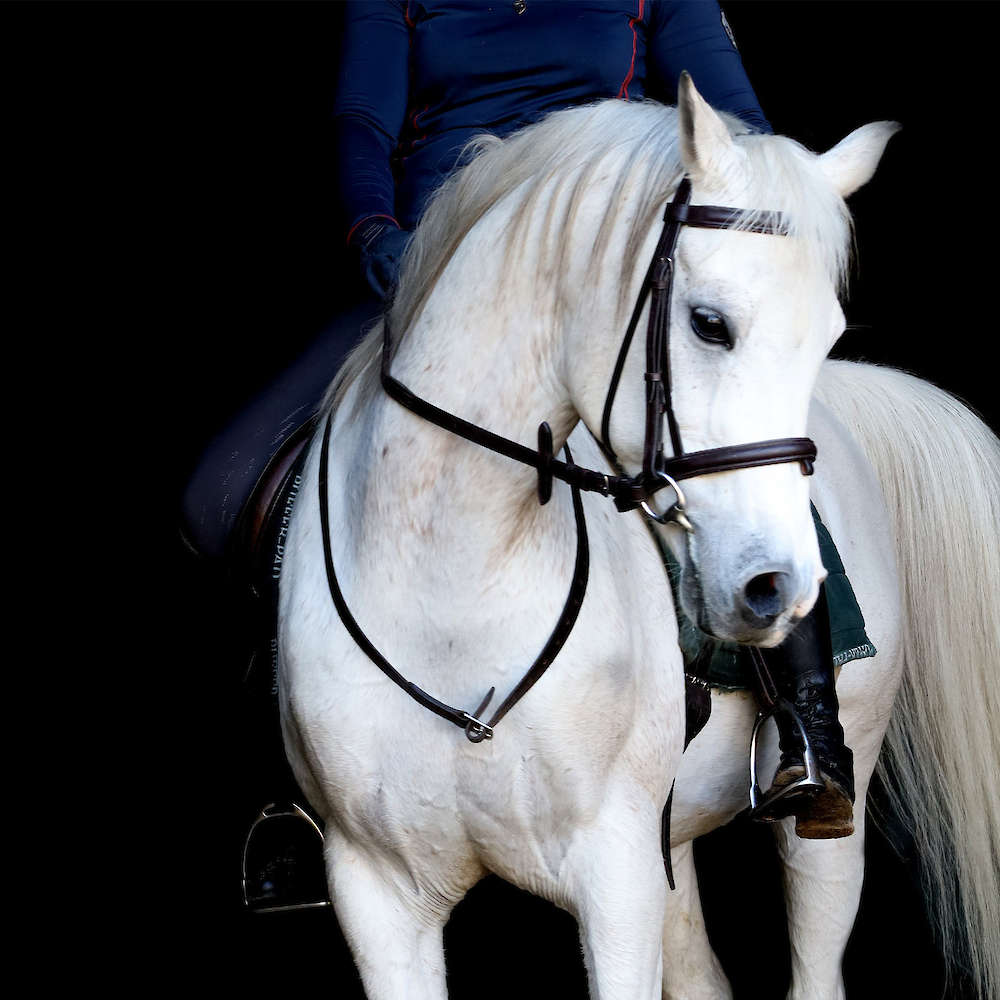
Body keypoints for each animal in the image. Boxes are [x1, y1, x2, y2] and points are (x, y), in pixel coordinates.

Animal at [276, 77, 1000, 999]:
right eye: (709, 323)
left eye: (827, 338)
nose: (778, 589)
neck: (453, 596)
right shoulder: (375, 895)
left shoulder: (613, 876)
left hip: (834, 802)